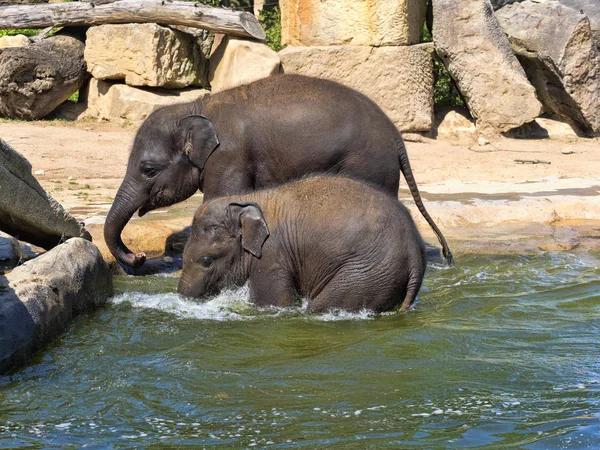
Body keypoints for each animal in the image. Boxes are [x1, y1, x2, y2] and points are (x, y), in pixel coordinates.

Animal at [105, 73, 452, 268]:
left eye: (148, 169)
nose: (138, 258)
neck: (194, 108)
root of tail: (396, 137)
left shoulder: (228, 157)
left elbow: (217, 202)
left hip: (368, 163)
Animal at [177, 176, 426, 312]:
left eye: (206, 261)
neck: (249, 200)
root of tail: (415, 253)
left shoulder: (272, 254)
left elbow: (274, 301)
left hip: (366, 274)